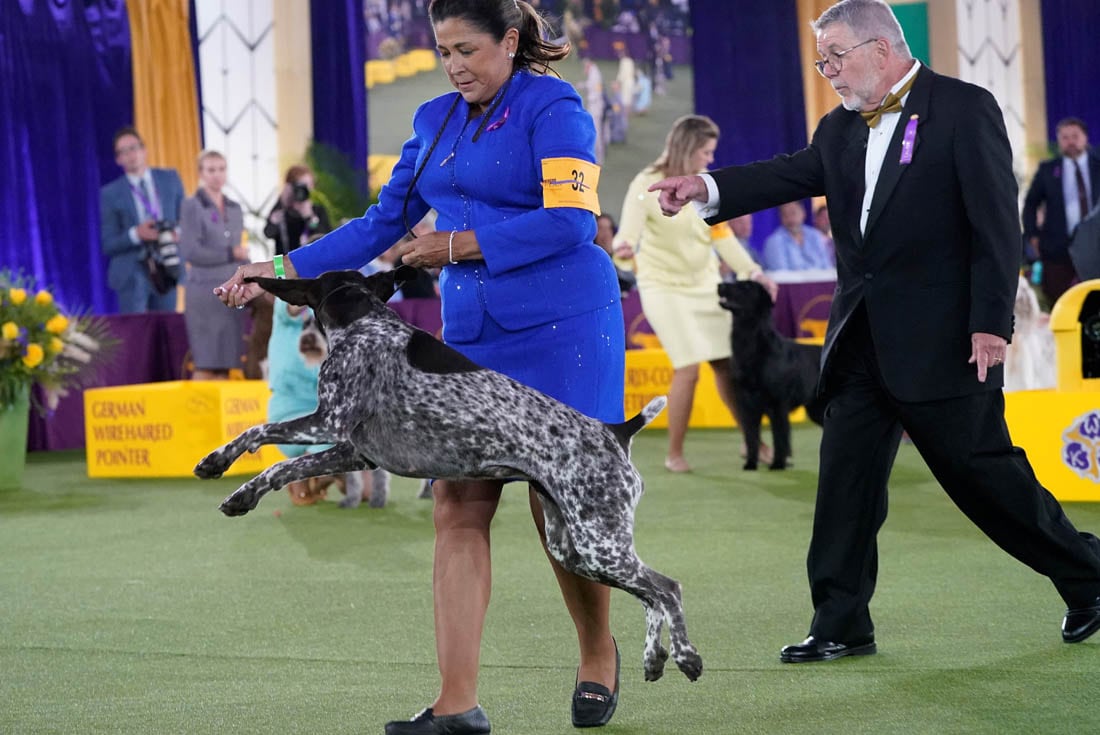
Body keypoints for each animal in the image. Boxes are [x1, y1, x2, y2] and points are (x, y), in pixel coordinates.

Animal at [196, 265, 704, 682]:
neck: (367, 322)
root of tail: (617, 431)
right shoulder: (352, 453)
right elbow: (281, 467)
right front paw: (240, 493)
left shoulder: (330, 421)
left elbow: (258, 432)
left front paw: (217, 460)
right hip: (575, 548)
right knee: (650, 594)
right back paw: (653, 658)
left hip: (599, 542)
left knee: (667, 588)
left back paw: (685, 655)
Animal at [712, 281, 827, 470]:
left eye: (745, 287)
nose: (720, 284)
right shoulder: (746, 404)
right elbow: (751, 436)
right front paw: (751, 464)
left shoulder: (777, 404)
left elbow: (779, 437)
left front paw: (778, 464)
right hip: (816, 409)